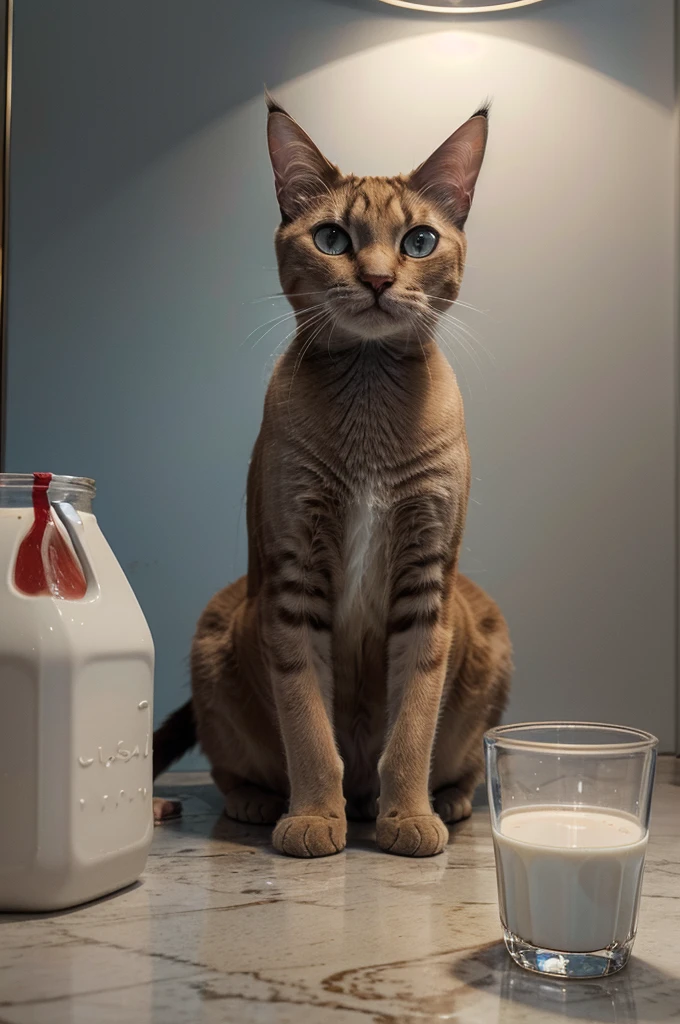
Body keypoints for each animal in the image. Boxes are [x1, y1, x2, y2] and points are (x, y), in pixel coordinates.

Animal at [153, 99, 512, 860]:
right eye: (331, 238)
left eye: (418, 241)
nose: (376, 279)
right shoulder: (294, 577)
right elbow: (309, 726)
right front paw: (316, 818)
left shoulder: (427, 580)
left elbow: (412, 727)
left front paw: (409, 817)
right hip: (215, 626)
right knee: (232, 766)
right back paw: (266, 803)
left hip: (486, 622)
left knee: (454, 760)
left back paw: (441, 801)